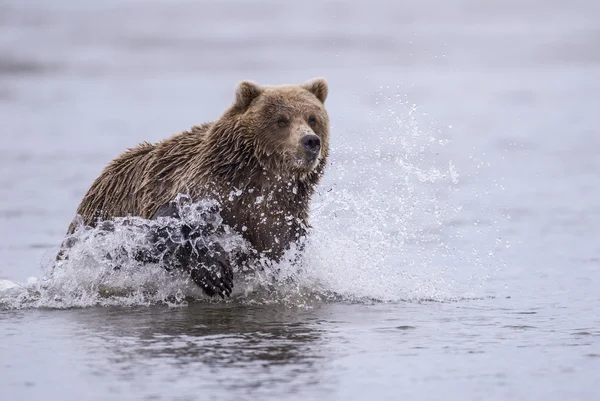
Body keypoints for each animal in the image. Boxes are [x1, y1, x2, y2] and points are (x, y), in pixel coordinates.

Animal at [60, 78, 330, 296]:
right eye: (281, 120)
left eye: (312, 118)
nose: (310, 141)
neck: (257, 181)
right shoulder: (195, 187)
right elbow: (173, 225)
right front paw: (217, 274)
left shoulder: (279, 216)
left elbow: (282, 249)